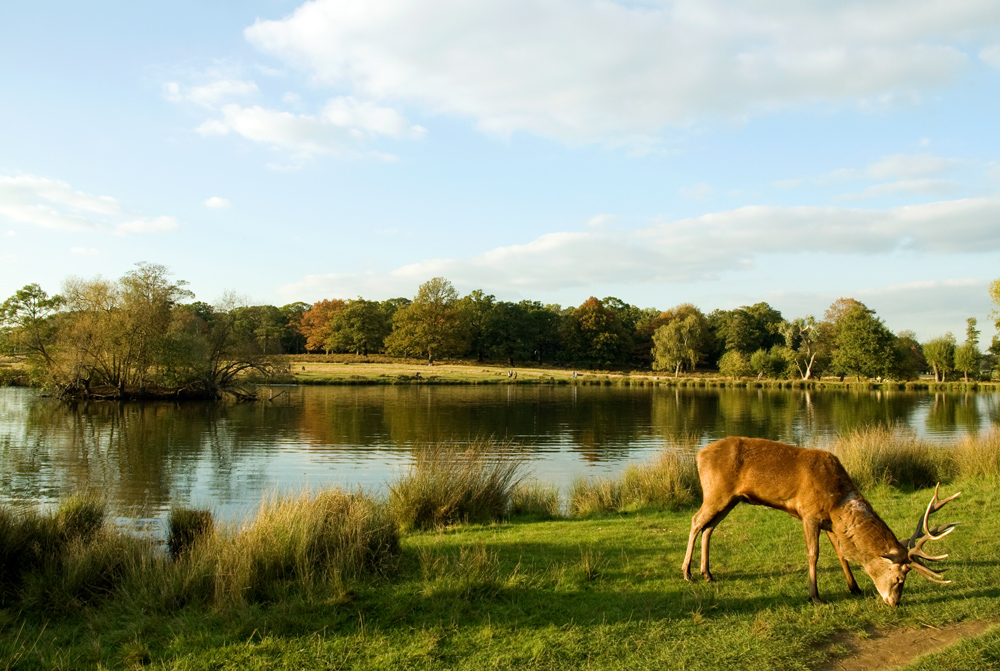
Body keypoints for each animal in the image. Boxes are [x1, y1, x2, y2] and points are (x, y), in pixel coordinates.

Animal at [680, 438, 960, 608]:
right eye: (900, 577)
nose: (895, 602)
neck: (838, 502)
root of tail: (699, 455)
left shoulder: (831, 523)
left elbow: (841, 554)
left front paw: (854, 587)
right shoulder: (809, 513)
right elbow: (813, 554)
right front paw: (814, 595)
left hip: (731, 498)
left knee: (709, 527)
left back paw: (708, 574)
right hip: (716, 491)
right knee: (695, 521)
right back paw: (687, 573)